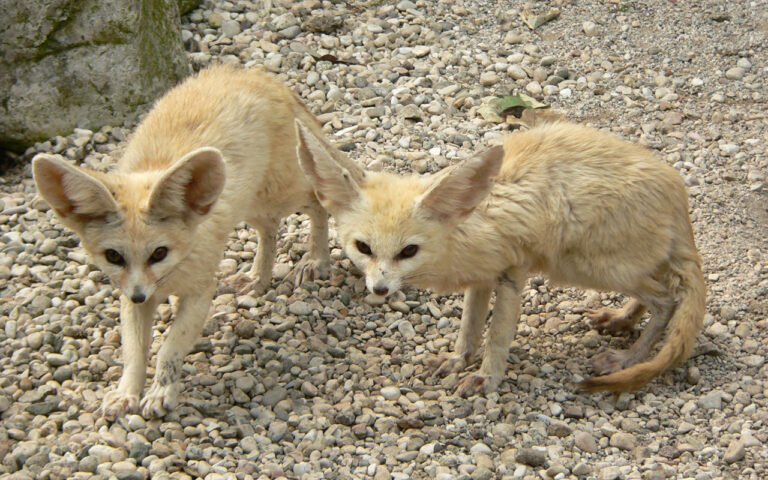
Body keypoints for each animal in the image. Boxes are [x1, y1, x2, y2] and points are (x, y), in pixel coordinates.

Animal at [32, 65, 339, 418]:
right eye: (113, 256)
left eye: (159, 253)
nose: (139, 295)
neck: (170, 277)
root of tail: (252, 74)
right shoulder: (130, 296)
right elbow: (134, 352)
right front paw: (126, 393)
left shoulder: (199, 292)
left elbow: (170, 347)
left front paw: (160, 392)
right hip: (250, 204)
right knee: (270, 230)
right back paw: (257, 277)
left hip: (279, 194)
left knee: (317, 201)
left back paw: (316, 259)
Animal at [295, 119, 706, 396]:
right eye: (363, 248)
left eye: (408, 251)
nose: (380, 290)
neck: (466, 224)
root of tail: (678, 195)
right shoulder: (480, 278)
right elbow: (470, 326)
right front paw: (458, 360)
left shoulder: (512, 272)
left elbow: (497, 335)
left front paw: (486, 378)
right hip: (615, 267)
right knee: (656, 293)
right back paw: (620, 319)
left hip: (593, 267)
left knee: (668, 300)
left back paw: (626, 358)